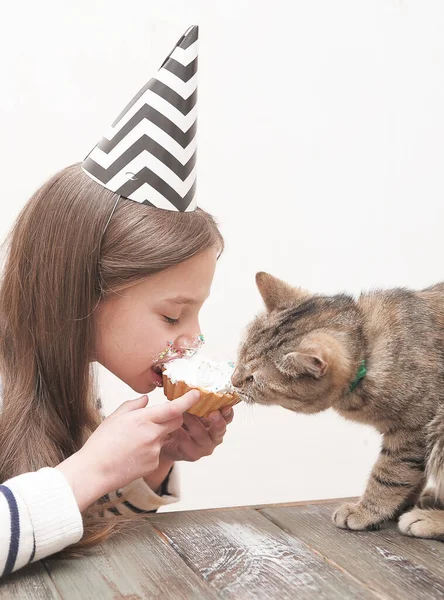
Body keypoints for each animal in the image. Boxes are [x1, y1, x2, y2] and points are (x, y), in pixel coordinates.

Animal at [231, 272, 444, 540]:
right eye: (240, 354)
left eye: (253, 379)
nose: (232, 380)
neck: (367, 348)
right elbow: (412, 477)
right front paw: (399, 505)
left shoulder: (412, 431)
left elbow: (389, 475)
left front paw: (366, 511)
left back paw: (427, 519)